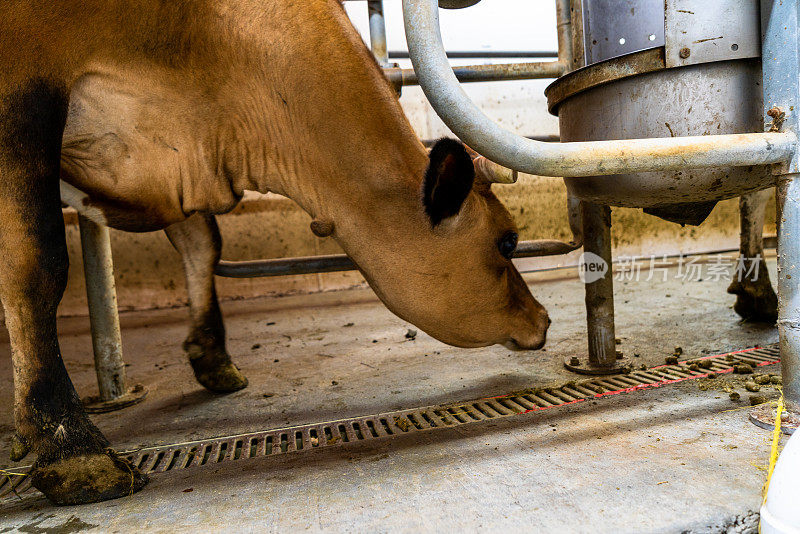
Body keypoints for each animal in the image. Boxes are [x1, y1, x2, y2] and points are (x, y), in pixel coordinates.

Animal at [0, 0, 552, 506]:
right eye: (507, 240)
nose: (543, 319)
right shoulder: (21, 86)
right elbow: (38, 263)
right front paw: (74, 452)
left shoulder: (176, 160)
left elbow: (202, 242)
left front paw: (213, 355)